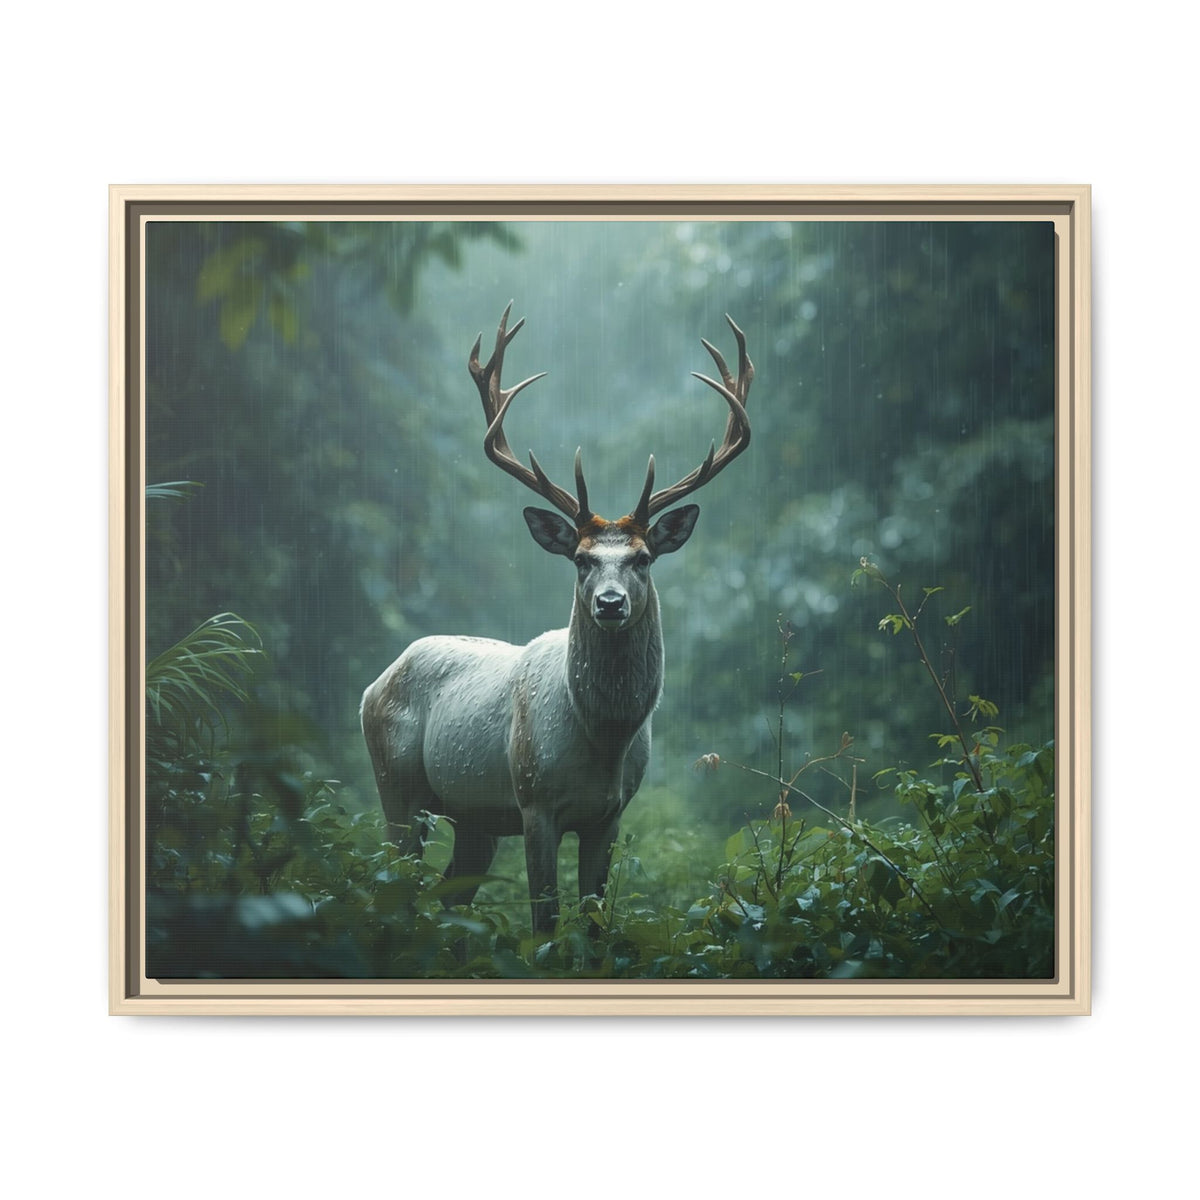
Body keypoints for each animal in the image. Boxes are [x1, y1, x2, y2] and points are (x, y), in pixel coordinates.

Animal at [361, 304, 753, 935]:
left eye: (643, 557)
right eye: (581, 559)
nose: (610, 603)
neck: (602, 739)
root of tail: (375, 683)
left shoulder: (611, 814)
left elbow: (592, 918)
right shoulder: (534, 800)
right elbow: (545, 919)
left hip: (474, 816)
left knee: (451, 896)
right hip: (397, 785)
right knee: (393, 886)